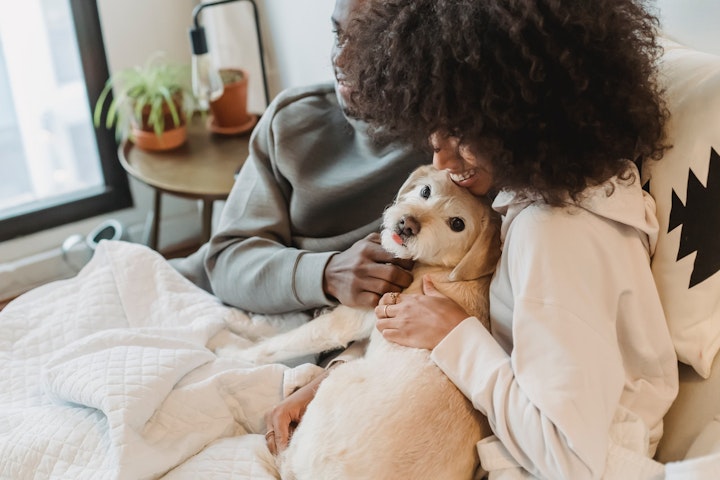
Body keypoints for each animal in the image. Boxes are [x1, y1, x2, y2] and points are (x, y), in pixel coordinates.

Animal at [272, 166, 500, 480]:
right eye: (426, 191)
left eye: (457, 223)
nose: (407, 224)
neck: (449, 269)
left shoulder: (352, 318)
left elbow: (278, 344)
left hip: (336, 383)